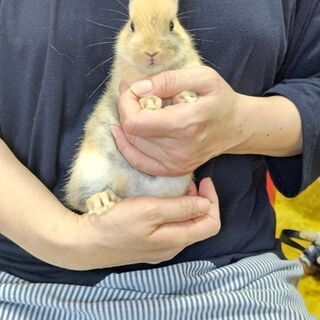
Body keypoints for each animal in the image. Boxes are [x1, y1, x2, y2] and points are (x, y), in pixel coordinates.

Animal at [65, 0, 202, 215]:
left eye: (172, 25)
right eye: (132, 26)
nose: (151, 51)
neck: (153, 72)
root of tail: (129, 191)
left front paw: (186, 98)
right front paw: (151, 102)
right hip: (88, 171)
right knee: (80, 200)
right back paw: (101, 201)